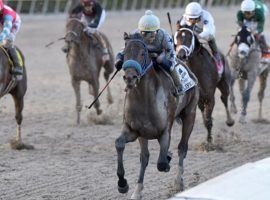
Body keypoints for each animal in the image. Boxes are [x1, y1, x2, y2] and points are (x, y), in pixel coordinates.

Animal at [115, 32, 199, 198]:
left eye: (143, 53)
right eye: (124, 53)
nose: (130, 78)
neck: (145, 98)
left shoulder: (165, 131)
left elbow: (161, 163)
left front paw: (167, 159)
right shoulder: (134, 130)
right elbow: (120, 144)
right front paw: (123, 184)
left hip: (190, 115)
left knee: (182, 147)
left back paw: (178, 182)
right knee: (145, 157)